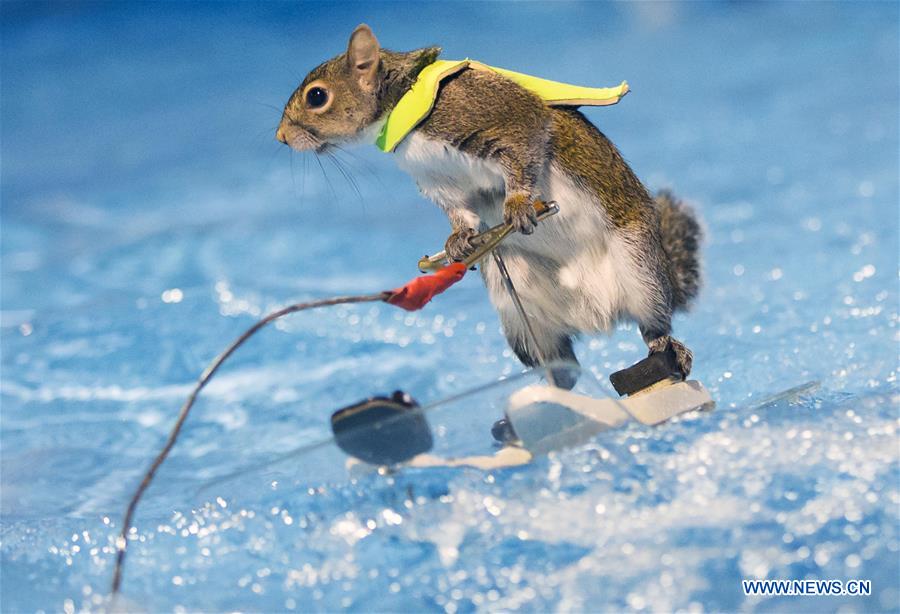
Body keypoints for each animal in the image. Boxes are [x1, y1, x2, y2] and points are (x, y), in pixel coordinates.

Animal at [276, 25, 704, 390]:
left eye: (317, 96)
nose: (281, 138)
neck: (403, 105)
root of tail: (597, 315)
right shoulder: (440, 180)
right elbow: (459, 210)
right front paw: (458, 239)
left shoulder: (496, 116)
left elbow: (528, 140)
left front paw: (516, 205)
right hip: (517, 312)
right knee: (562, 362)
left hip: (640, 269)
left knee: (653, 325)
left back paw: (668, 350)